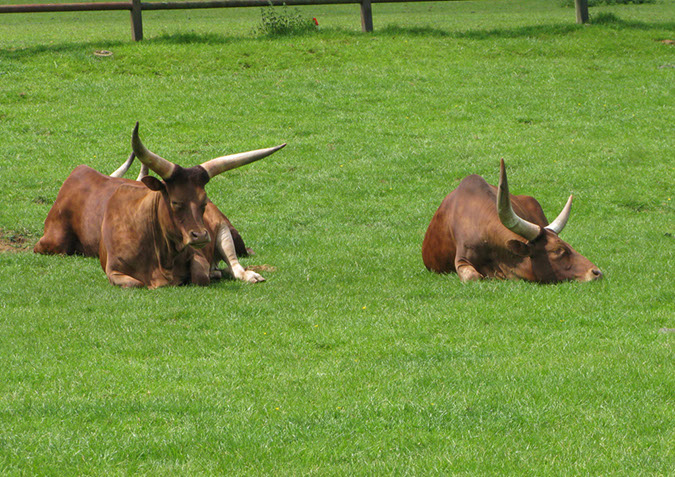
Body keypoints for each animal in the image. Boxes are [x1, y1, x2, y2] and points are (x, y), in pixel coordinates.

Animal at [37, 122, 286, 286]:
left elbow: (201, 274)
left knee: (234, 264)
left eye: (203, 201)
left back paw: (246, 274)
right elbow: (136, 282)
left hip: (223, 229)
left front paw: (212, 273)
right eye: (175, 202)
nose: (201, 235)